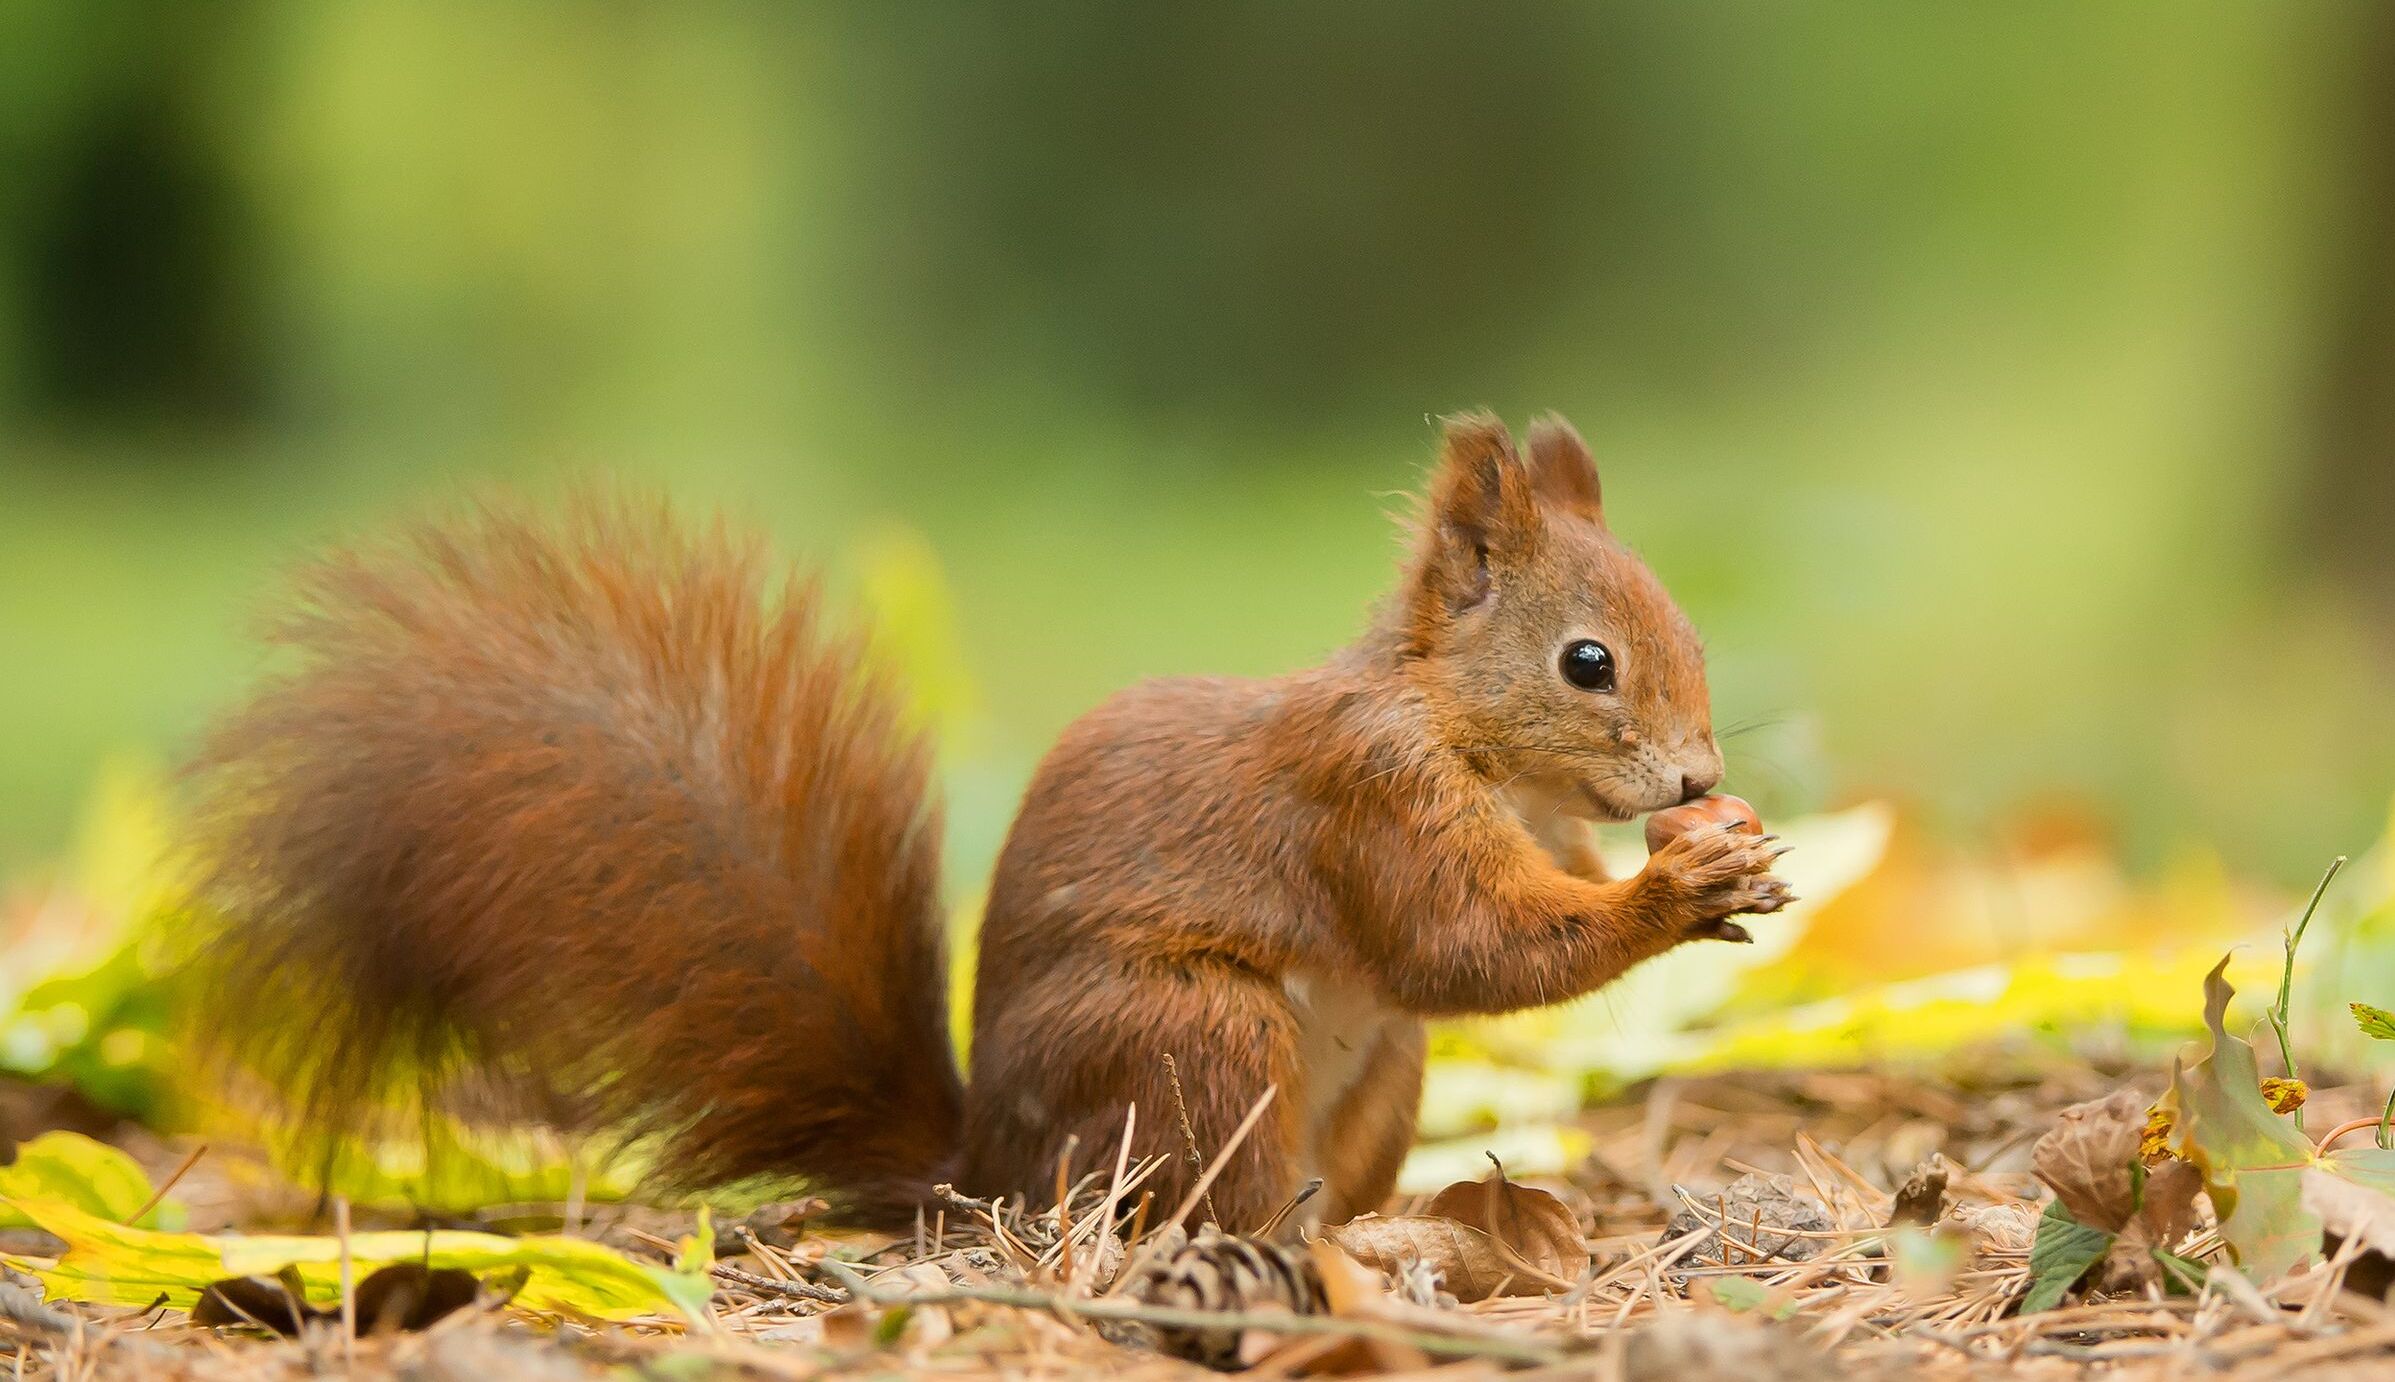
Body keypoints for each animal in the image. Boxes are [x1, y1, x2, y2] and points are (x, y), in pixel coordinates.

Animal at [186, 409, 1791, 1226]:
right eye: (1585, 662)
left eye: (1692, 634)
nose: (1694, 778)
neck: (1458, 727)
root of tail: (980, 1170)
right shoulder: (1365, 798)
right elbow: (1467, 944)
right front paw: (1677, 888)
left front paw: (1716, 857)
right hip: (1191, 1036)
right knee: (1198, 1198)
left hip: (1370, 1077)